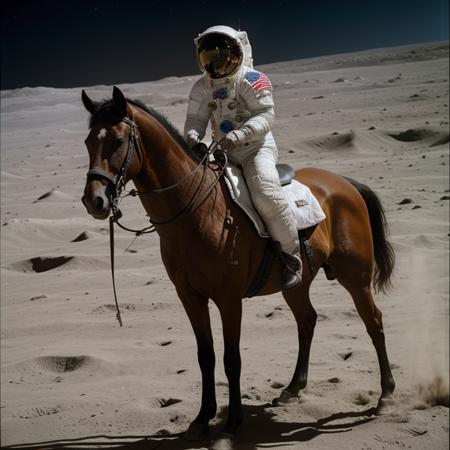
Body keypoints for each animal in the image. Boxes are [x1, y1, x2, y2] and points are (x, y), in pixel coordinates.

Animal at [81, 87, 398, 440]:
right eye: (88, 142)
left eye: (118, 141)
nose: (94, 200)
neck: (197, 209)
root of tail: (344, 183)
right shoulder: (190, 297)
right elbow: (205, 355)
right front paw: (202, 417)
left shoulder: (229, 299)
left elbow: (231, 358)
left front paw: (233, 420)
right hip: (297, 283)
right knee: (307, 321)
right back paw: (292, 389)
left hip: (355, 276)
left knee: (374, 322)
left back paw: (386, 395)